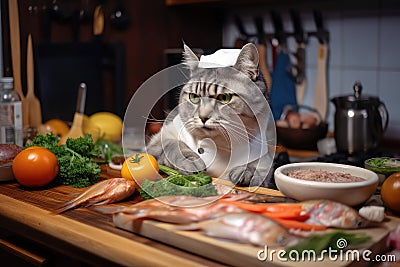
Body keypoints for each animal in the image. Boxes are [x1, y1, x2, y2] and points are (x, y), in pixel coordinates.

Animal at [147, 43, 276, 187]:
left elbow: (258, 168)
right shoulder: (158, 140)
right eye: (194, 97)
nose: (203, 117)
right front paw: (190, 160)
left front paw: (247, 171)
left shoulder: (266, 160)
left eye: (224, 98)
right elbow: (173, 144)